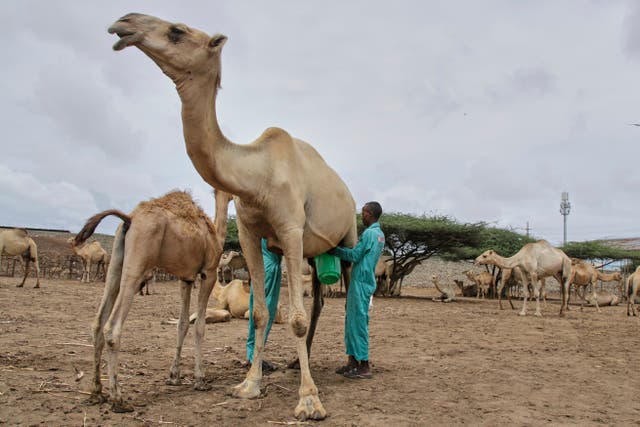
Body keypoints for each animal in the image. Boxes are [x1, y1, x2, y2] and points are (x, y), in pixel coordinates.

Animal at [78, 190, 229, 413]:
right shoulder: (208, 273)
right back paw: (118, 399)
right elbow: (199, 326)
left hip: (116, 262)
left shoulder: (186, 278)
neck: (214, 232)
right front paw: (200, 380)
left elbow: (182, 324)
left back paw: (97, 392)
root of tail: (129, 219)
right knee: (112, 328)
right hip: (138, 260)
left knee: (98, 323)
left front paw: (174, 377)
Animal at [108, 14, 358, 420]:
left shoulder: (290, 229)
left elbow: (295, 317)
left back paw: (354, 363)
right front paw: (249, 386)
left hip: (348, 235)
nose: (123, 23)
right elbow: (261, 314)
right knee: (320, 299)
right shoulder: (249, 233)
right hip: (313, 252)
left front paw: (309, 400)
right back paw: (296, 363)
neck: (258, 174)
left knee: (351, 295)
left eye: (177, 30)